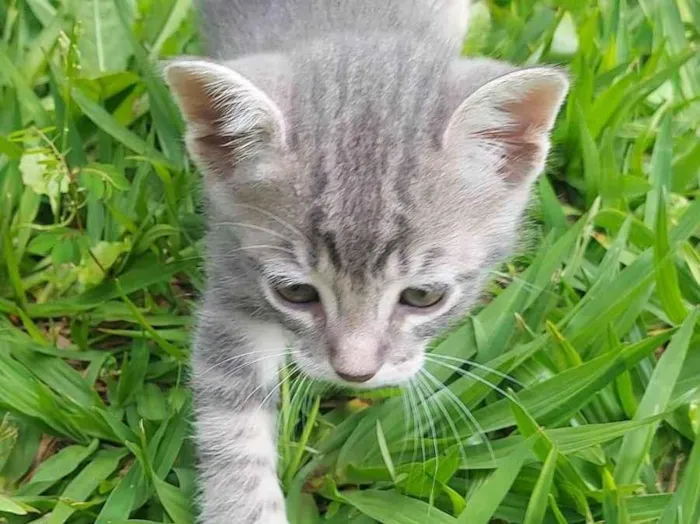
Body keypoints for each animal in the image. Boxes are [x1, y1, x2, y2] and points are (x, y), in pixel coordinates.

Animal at [165, 1, 568, 524]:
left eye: (423, 295)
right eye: (296, 292)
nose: (355, 373)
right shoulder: (232, 275)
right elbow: (233, 419)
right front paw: (244, 506)